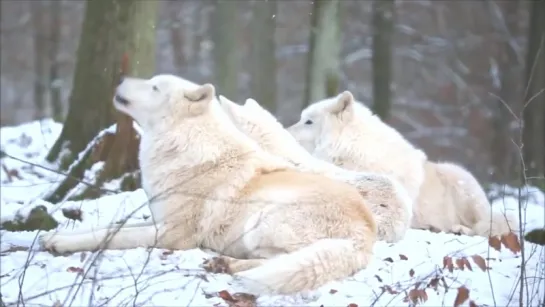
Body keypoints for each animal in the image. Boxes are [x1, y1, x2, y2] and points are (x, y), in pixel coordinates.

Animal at [39, 74, 378, 296]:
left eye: (154, 86)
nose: (120, 78)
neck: (183, 143)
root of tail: (365, 235)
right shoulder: (158, 219)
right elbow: (107, 227)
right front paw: (54, 237)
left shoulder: (172, 234)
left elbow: (111, 236)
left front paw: (61, 244)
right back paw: (223, 263)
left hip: (262, 221)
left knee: (281, 262)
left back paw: (226, 264)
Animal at [286, 91, 516, 238]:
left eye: (308, 121)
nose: (285, 131)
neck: (351, 151)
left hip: (462, 182)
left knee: (484, 226)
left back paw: (459, 229)